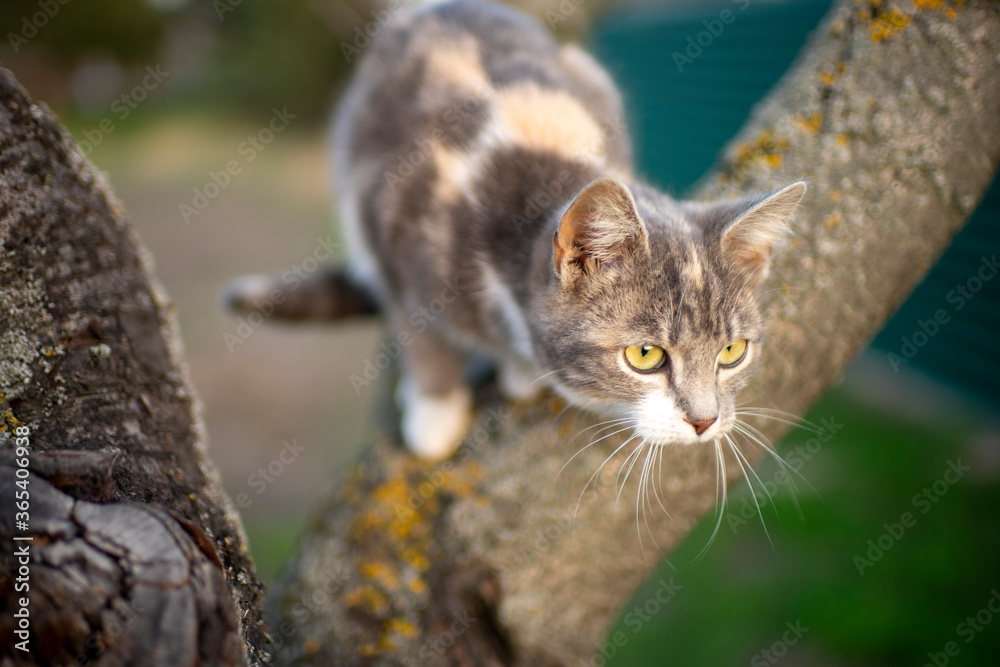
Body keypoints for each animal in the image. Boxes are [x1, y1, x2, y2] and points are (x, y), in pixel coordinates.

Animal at [225, 0, 804, 462]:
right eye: (645, 356)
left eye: (733, 352)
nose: (706, 421)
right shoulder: (386, 208)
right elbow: (416, 324)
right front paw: (434, 411)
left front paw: (519, 371)